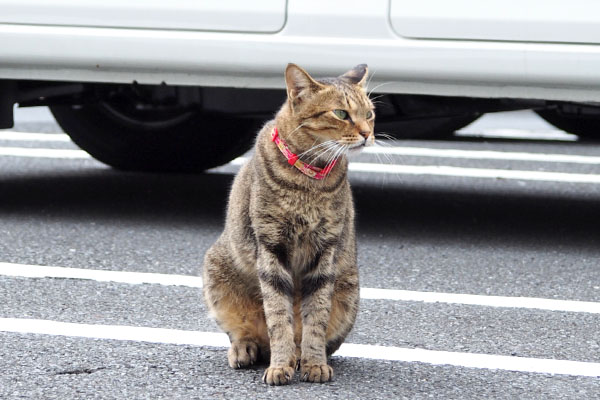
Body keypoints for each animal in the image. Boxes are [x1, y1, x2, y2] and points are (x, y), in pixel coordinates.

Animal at [205, 64, 376, 386]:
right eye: (341, 114)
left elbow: (315, 318)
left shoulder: (325, 250)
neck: (309, 179)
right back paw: (246, 349)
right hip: (217, 275)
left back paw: (298, 355)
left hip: (349, 293)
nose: (367, 134)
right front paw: (280, 366)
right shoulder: (271, 247)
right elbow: (278, 317)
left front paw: (313, 363)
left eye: (370, 113)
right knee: (251, 336)